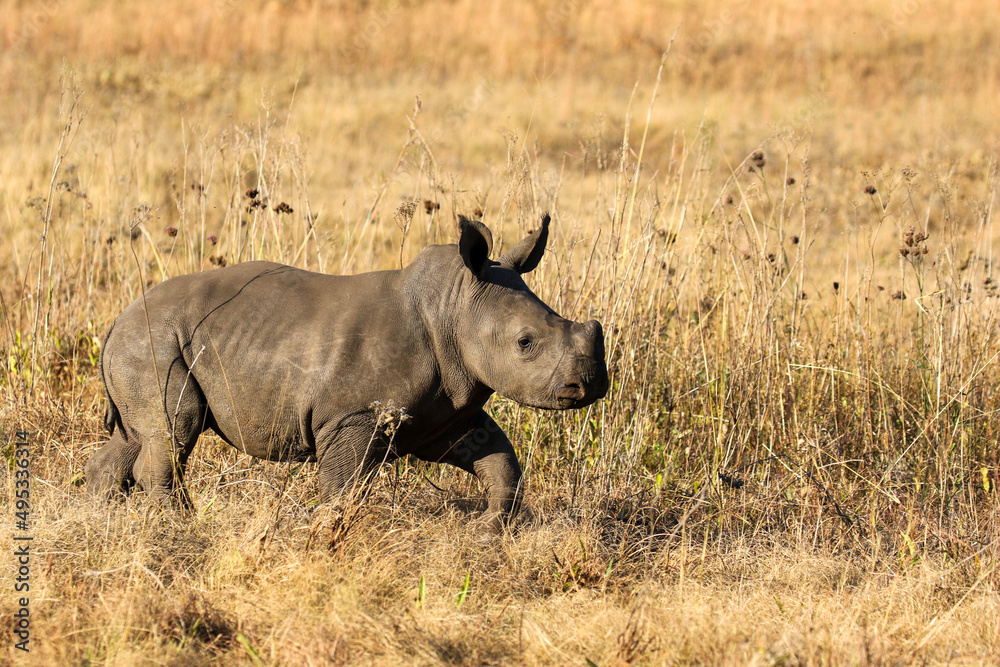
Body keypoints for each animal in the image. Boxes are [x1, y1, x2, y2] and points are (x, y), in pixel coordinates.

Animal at [85, 214, 608, 529]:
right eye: (525, 343)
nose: (592, 385)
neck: (455, 306)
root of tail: (116, 319)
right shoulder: (353, 416)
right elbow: (344, 485)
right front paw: (330, 532)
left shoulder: (446, 412)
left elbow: (499, 458)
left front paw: (491, 526)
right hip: (154, 343)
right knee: (176, 428)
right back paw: (183, 525)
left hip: (143, 343)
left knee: (135, 435)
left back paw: (101, 515)